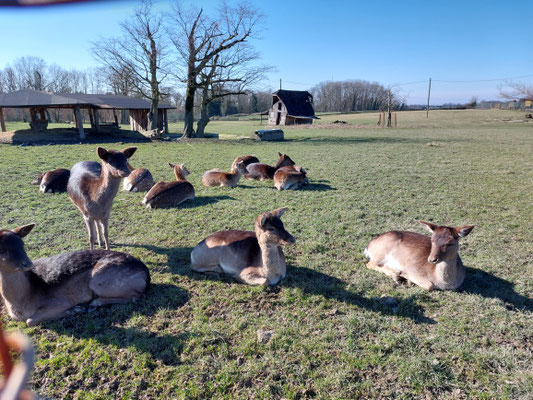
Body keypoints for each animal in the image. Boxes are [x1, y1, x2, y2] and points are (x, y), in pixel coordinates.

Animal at [0, 223, 150, 326]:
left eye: (22, 244)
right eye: (2, 249)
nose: (28, 263)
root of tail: (146, 274)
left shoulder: (60, 301)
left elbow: (30, 321)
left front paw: (75, 309)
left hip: (98, 281)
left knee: (138, 296)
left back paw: (94, 303)